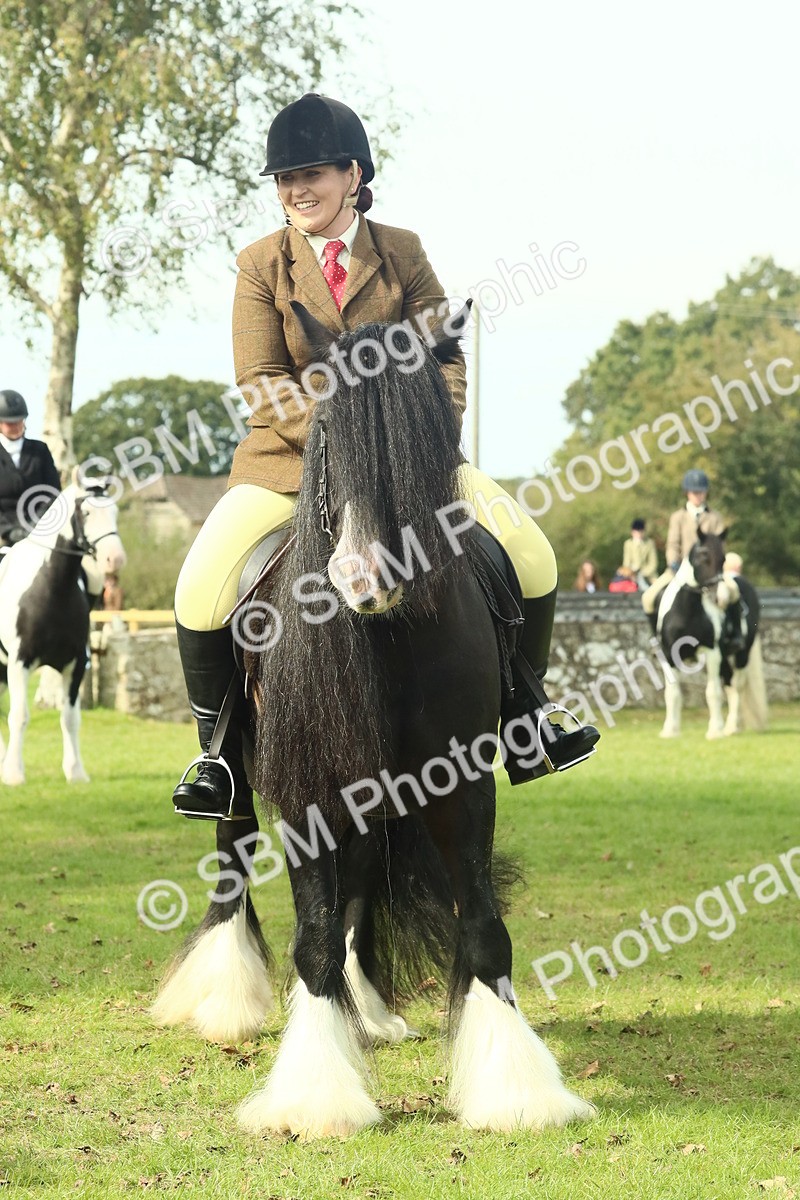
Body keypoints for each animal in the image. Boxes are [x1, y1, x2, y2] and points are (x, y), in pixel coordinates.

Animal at [0, 476, 126, 784]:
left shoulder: (76, 664)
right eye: (87, 512)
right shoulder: (20, 663)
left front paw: (75, 771)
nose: (115, 559)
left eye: (115, 511)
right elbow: (19, 715)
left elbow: (70, 719)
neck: (51, 589)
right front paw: (14, 773)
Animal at [153, 303, 594, 1139]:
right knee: (232, 851)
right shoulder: (309, 793)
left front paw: (517, 1091)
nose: (365, 580)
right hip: (240, 774)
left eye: (426, 433)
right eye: (325, 427)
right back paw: (226, 1000)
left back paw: (366, 1011)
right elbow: (314, 937)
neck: (387, 637)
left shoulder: (460, 783)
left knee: (357, 878)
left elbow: (482, 926)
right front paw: (315, 1098)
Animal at [653, 530, 767, 740]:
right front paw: (670, 730)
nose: (720, 597)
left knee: (737, 685)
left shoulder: (712, 652)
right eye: (704, 555)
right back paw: (732, 726)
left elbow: (712, 692)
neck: (687, 609)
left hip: (741, 654)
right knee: (730, 684)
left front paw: (715, 730)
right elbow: (673, 693)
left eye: (723, 558)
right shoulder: (668, 655)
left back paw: (732, 726)